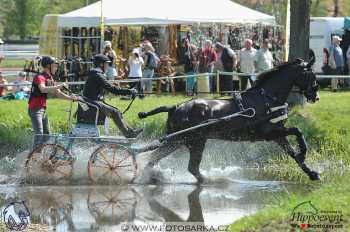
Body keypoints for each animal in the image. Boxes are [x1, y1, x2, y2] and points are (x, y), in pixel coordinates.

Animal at [138, 59, 322, 183]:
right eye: (311, 74)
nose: (316, 96)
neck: (267, 98)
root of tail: (175, 107)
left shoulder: (277, 135)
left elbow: (293, 154)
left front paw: (312, 173)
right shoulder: (268, 133)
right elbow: (298, 131)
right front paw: (304, 151)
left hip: (180, 141)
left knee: (157, 159)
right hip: (189, 140)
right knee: (186, 166)